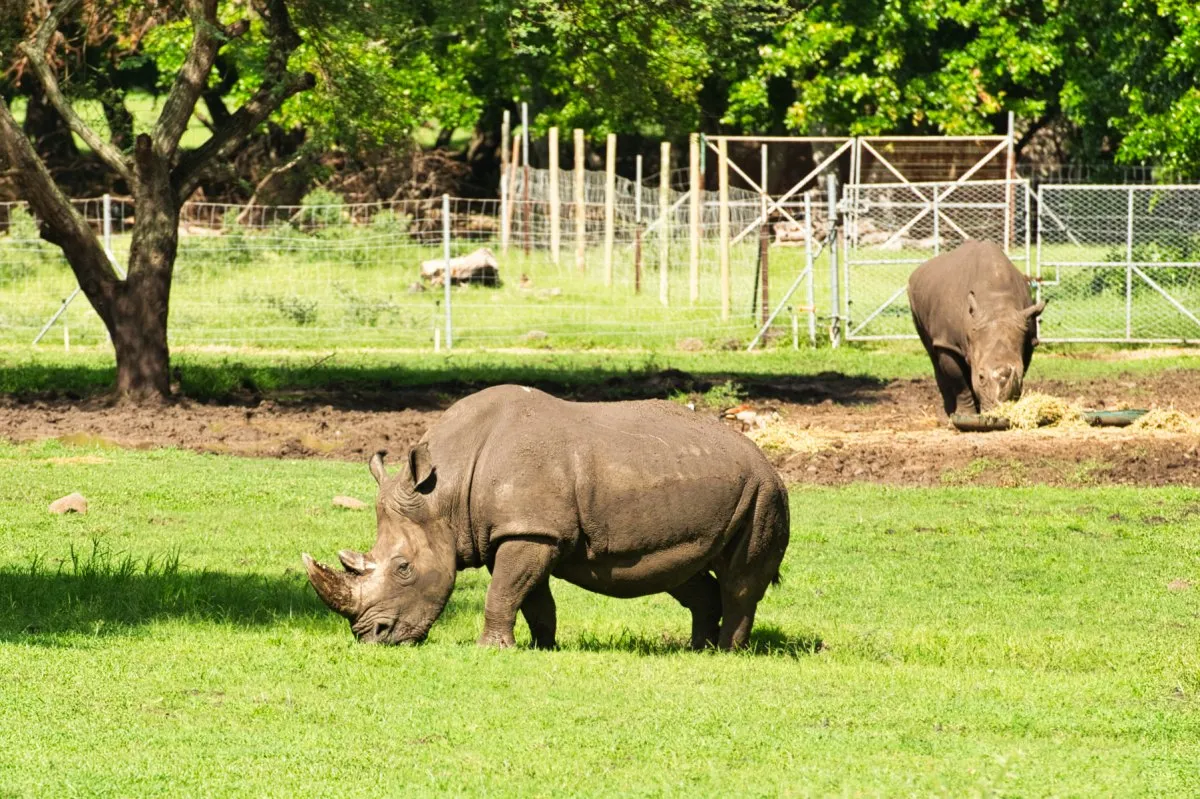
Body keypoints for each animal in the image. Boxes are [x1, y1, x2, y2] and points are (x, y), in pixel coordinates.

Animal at [303, 385, 790, 650]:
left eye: (404, 568)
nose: (372, 637)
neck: (444, 491)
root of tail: (764, 458)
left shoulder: (530, 532)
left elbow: (503, 592)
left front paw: (490, 649)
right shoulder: (520, 532)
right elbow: (531, 598)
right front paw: (543, 647)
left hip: (763, 493)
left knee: (739, 580)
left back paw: (725, 653)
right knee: (681, 572)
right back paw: (696, 649)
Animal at [907, 240, 1046, 416]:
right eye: (980, 377)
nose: (996, 409)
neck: (996, 305)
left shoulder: (1027, 338)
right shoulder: (948, 342)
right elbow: (959, 381)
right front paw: (966, 415)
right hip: (915, 300)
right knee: (933, 354)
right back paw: (948, 413)